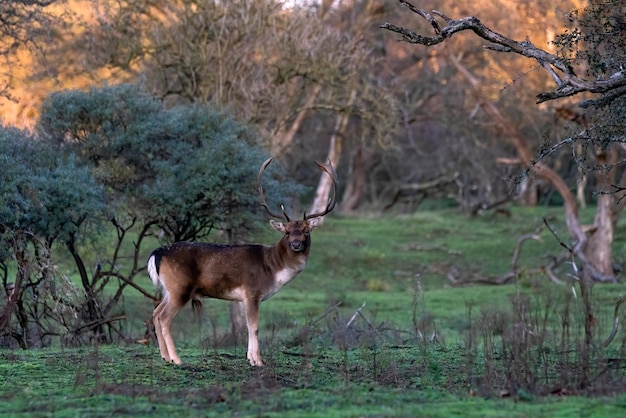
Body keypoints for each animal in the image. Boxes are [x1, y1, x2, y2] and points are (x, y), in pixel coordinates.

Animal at [146, 159, 336, 366]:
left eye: (306, 231)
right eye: (286, 232)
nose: (295, 244)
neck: (272, 268)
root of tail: (156, 254)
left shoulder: (246, 297)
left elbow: (248, 326)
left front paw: (251, 358)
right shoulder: (252, 292)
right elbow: (254, 326)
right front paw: (258, 361)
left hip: (169, 289)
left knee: (155, 313)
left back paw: (165, 357)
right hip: (180, 287)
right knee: (164, 317)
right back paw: (176, 359)